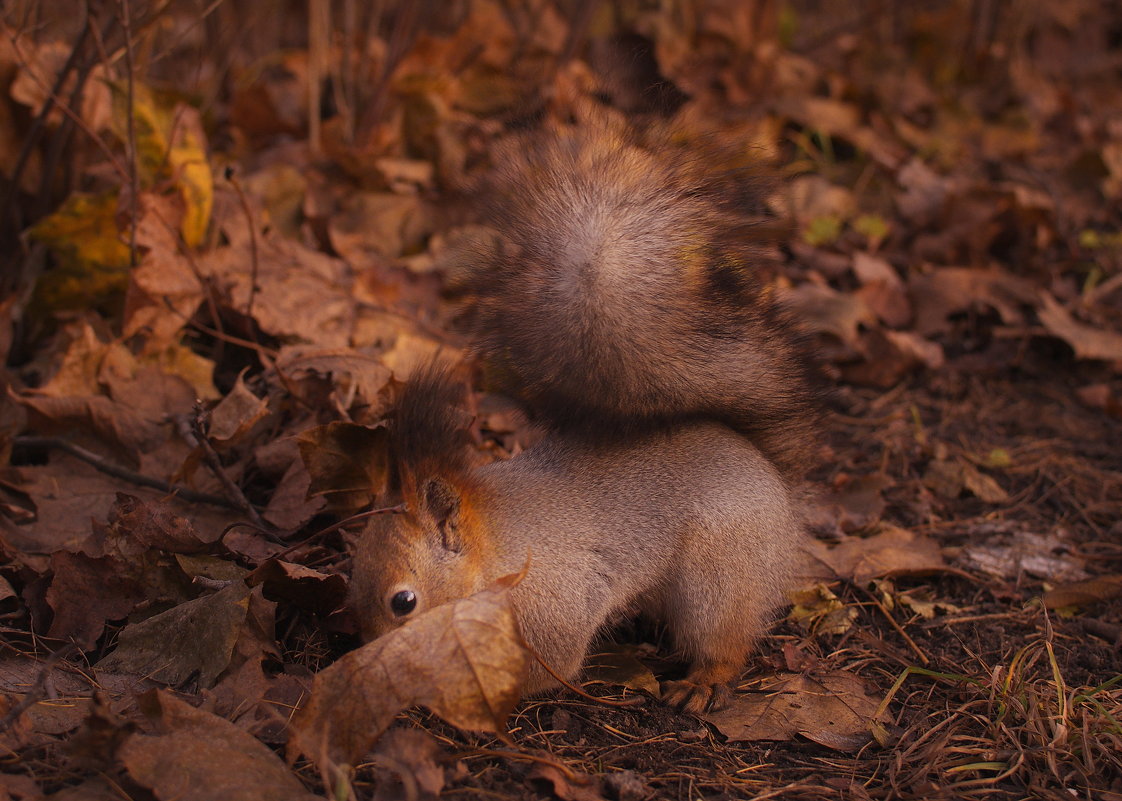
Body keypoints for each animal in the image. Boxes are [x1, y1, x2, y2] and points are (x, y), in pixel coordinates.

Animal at [345, 120, 812, 713]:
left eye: (403, 602)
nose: (367, 659)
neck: (497, 550)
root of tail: (770, 475)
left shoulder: (554, 611)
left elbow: (550, 667)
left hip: (723, 575)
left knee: (725, 638)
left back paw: (704, 681)